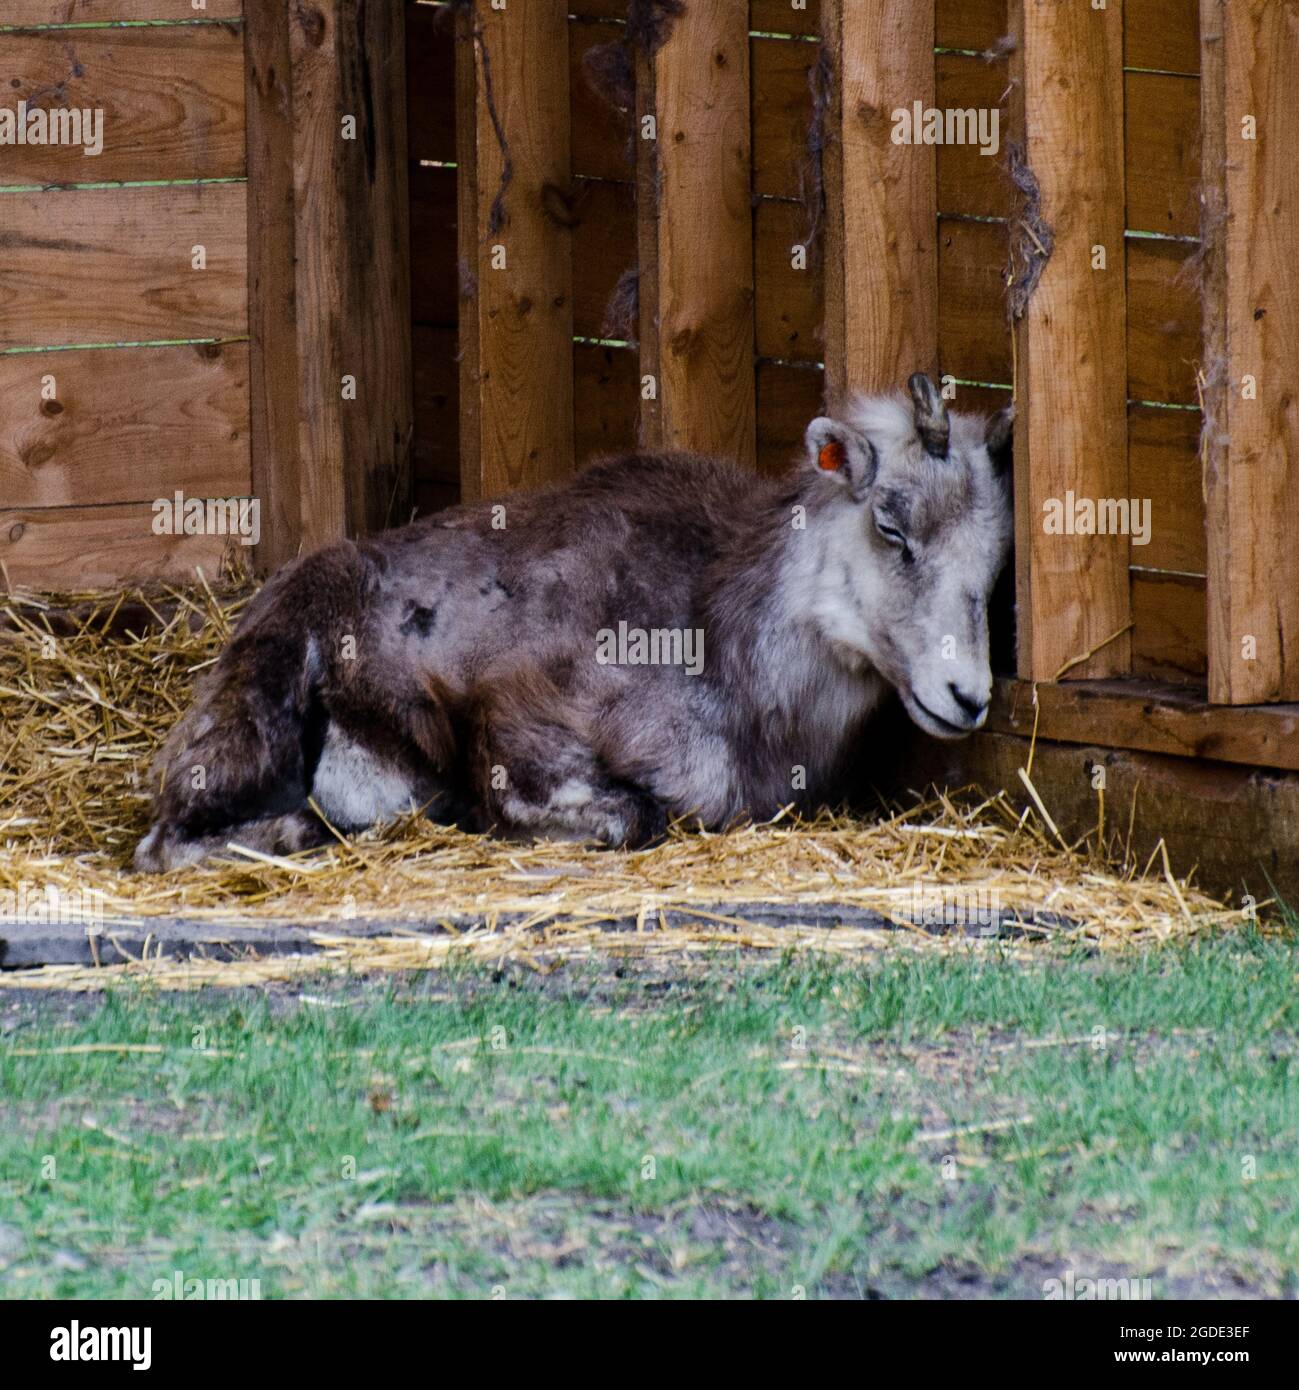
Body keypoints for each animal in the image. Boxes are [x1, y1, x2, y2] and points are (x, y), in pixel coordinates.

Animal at [134, 375, 1013, 871]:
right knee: (167, 844)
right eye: (891, 527)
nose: (965, 695)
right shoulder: (522, 719)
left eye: (995, 557)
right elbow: (631, 815)